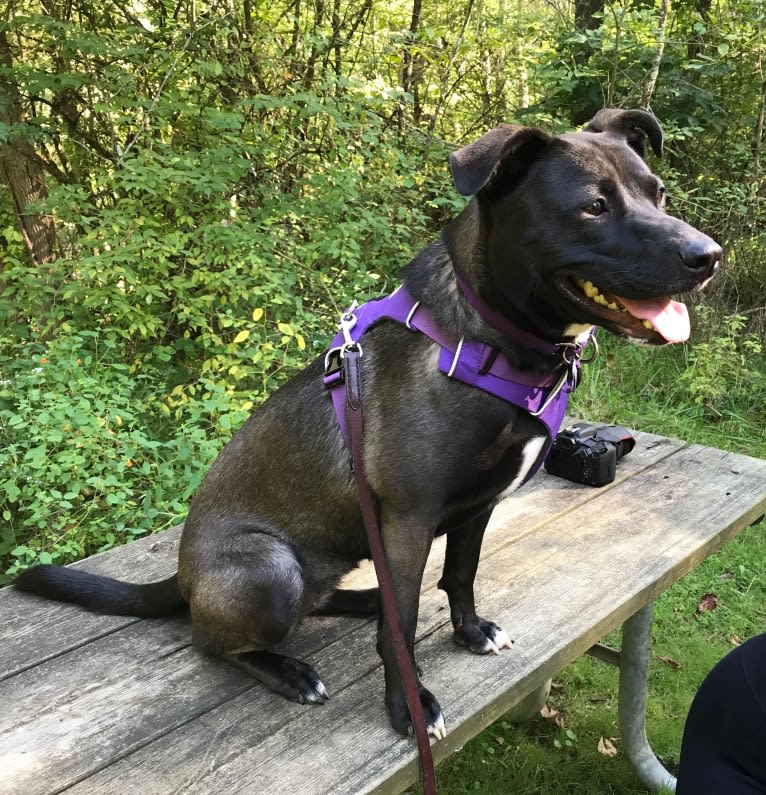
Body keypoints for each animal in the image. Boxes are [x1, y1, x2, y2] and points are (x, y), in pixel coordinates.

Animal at [15, 107, 724, 740]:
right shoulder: (408, 519)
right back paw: (290, 669)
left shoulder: (476, 508)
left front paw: (470, 631)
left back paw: (360, 602)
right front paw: (409, 705)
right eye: (593, 206)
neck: (486, 341)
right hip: (269, 570)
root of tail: (183, 580)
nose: (708, 256)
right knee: (214, 643)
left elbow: (459, 577)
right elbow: (403, 629)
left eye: (658, 194)